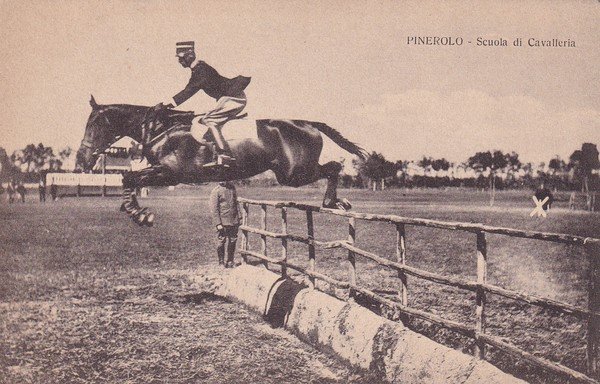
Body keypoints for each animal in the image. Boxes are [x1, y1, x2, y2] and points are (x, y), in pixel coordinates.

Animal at [75, 95, 366, 225]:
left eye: (94, 125)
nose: (81, 160)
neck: (161, 128)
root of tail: (308, 123)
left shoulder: (170, 173)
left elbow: (130, 177)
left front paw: (140, 214)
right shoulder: (161, 171)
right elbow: (129, 177)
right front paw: (134, 210)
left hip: (295, 173)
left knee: (334, 168)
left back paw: (333, 202)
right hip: (292, 173)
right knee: (331, 169)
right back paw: (336, 202)